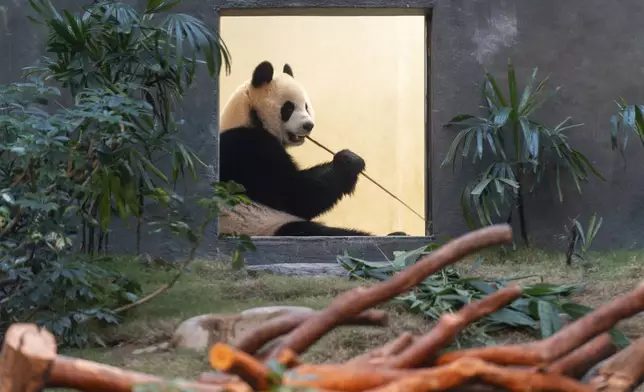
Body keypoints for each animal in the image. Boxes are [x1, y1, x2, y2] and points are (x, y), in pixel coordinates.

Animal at [219, 59, 394, 236]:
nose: (308, 125)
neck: (248, 116)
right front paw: (348, 161)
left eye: (306, 106)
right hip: (261, 225)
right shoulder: (250, 149)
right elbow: (295, 196)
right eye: (288, 108)